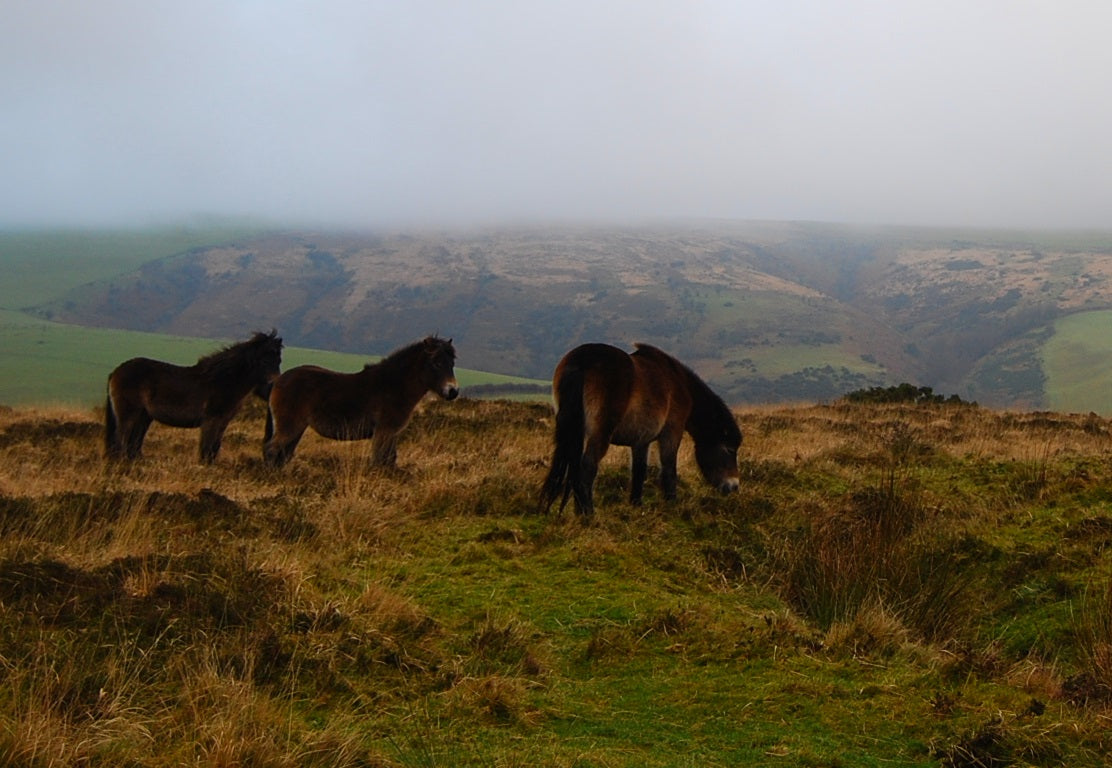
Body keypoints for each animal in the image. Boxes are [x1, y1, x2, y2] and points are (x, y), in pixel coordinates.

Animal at [105, 328, 282, 462]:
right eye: (263, 360)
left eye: (278, 360)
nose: (273, 386)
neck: (223, 380)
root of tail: (116, 371)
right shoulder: (211, 420)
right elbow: (206, 449)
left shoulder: (222, 422)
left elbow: (214, 449)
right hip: (128, 415)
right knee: (121, 440)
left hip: (144, 417)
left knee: (133, 444)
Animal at [262, 333, 458, 464]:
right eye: (436, 363)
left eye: (452, 363)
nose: (453, 391)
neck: (394, 385)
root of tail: (278, 380)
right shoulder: (384, 432)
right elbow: (380, 461)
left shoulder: (391, 434)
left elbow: (390, 460)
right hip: (290, 426)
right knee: (272, 451)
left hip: (298, 427)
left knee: (284, 454)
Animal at [535, 344, 738, 520]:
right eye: (729, 450)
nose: (734, 486)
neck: (681, 385)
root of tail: (582, 362)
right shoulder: (671, 432)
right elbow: (669, 469)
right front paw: (672, 504)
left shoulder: (641, 441)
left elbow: (639, 471)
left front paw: (636, 504)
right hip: (600, 434)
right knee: (587, 467)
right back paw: (589, 514)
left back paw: (580, 512)